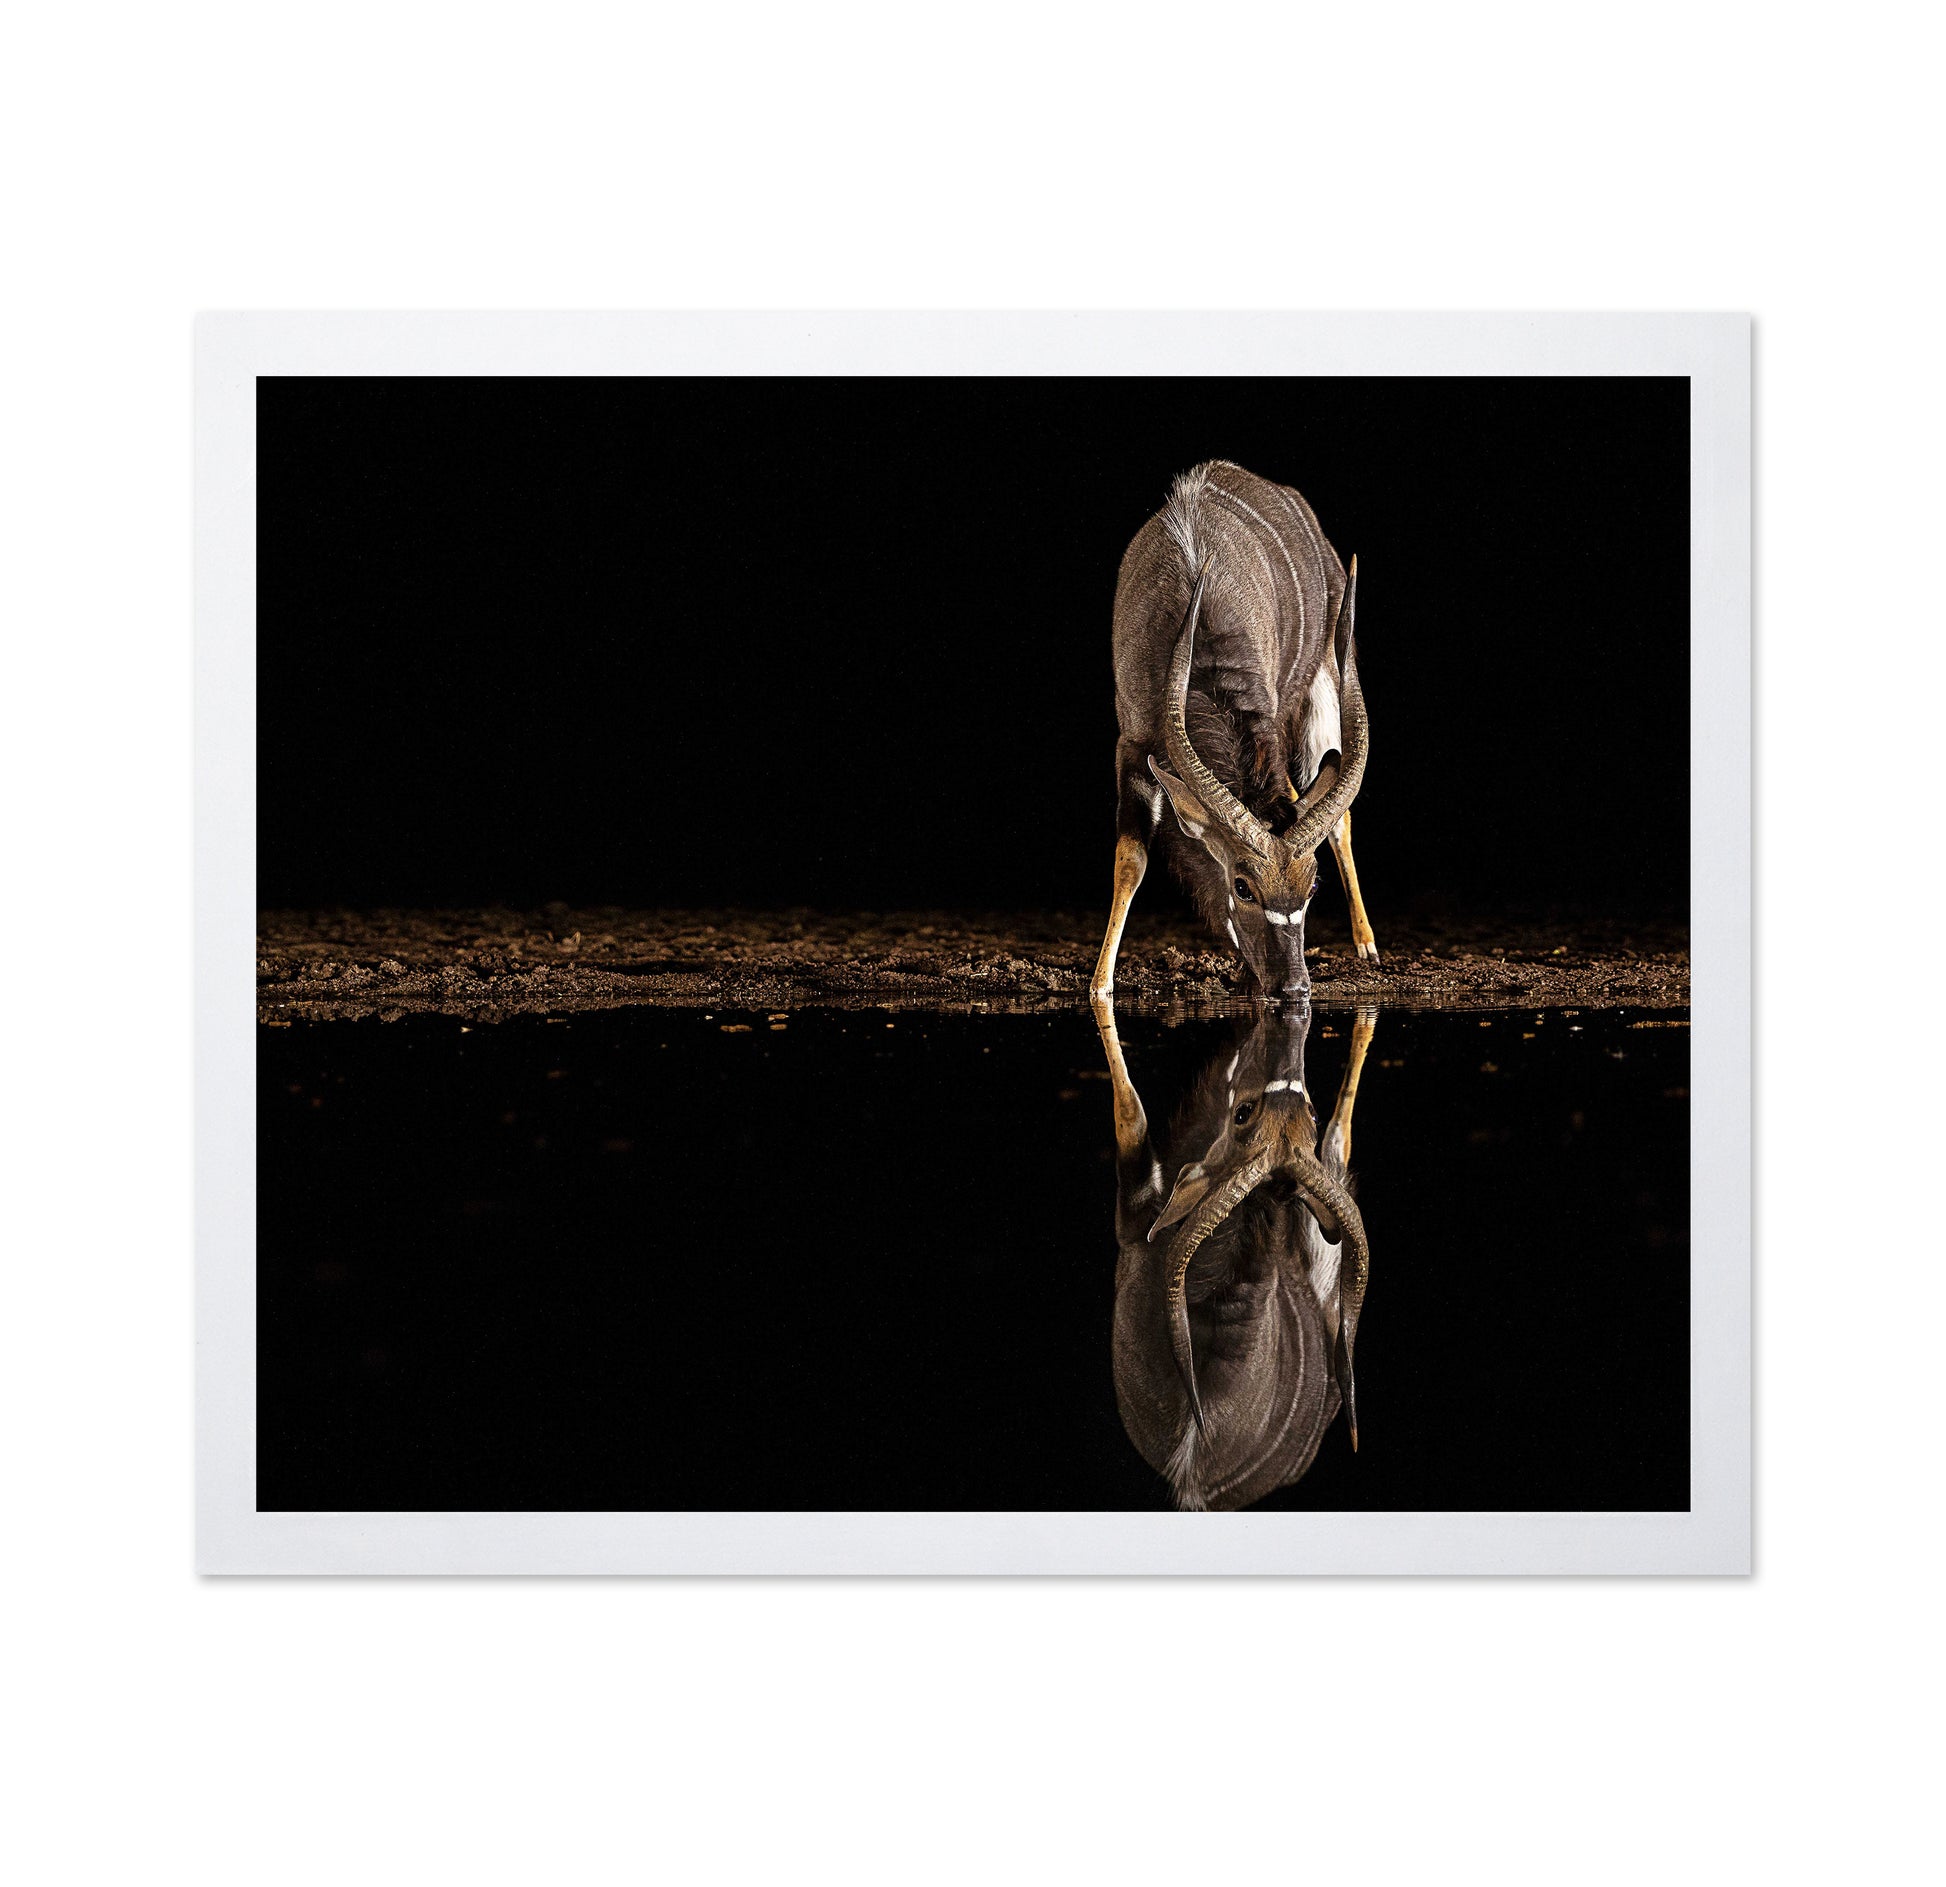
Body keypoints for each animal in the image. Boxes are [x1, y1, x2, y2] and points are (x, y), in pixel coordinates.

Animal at [1090, 462, 1377, 1003]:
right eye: (1242, 886)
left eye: (1312, 888)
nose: (1294, 987)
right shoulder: (1131, 744)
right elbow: (1130, 859)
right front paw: (1099, 986)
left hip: (1324, 686)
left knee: (1337, 817)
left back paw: (1368, 947)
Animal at [1097, 1002, 1376, 1512]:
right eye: (1245, 1113)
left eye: (1309, 1110)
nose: (1288, 1087)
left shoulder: (1134, 1213)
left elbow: (1128, 1113)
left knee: (1340, 1138)